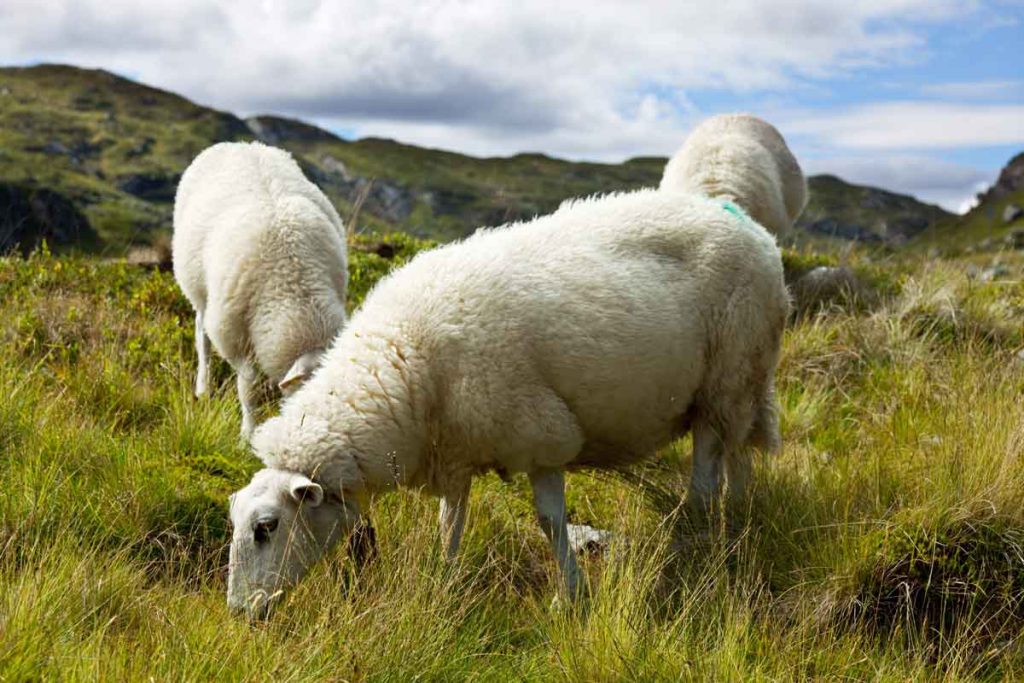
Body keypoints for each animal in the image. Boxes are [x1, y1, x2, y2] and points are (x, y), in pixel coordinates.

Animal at [174, 141, 350, 438]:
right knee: (201, 334)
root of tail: (239, 143)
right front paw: (248, 433)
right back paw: (203, 387)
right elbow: (248, 387)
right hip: (197, 289)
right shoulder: (231, 334)